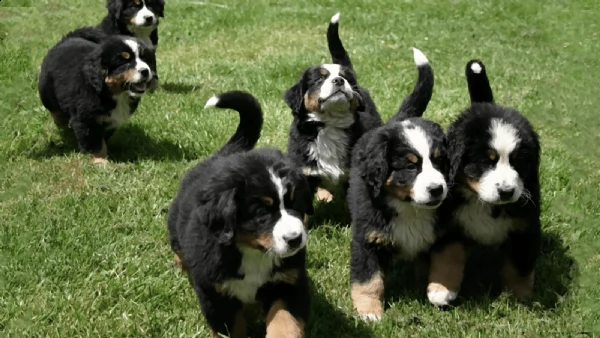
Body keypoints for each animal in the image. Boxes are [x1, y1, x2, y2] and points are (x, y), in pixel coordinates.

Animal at [38, 30, 157, 164]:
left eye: (144, 58)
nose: (146, 71)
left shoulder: (110, 121)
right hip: (47, 93)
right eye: (125, 62)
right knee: (56, 114)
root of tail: (68, 38)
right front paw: (100, 162)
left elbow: (102, 139)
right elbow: (95, 143)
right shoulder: (86, 120)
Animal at [168, 90, 314, 338]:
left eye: (296, 203)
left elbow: (285, 323)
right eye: (261, 211)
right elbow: (232, 328)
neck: (253, 252)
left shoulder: (289, 283)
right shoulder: (216, 296)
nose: (295, 240)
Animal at [346, 48, 446, 322]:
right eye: (410, 166)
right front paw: (369, 313)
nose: (437, 189)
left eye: (439, 160)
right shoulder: (367, 239)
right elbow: (369, 281)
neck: (409, 208)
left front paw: (437, 292)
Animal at [426, 60, 544, 306]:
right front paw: (441, 290)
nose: (507, 192)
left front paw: (519, 298)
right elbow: (448, 257)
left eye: (518, 162)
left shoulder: (525, 227)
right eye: (486, 162)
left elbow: (519, 267)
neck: (484, 203)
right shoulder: (449, 225)